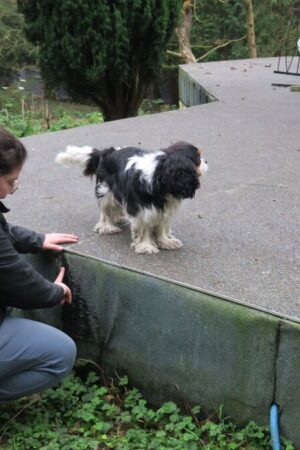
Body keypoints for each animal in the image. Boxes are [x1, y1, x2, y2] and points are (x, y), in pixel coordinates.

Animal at [55, 141, 206, 253]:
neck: (160, 175)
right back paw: (107, 227)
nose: (206, 161)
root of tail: (108, 151)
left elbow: (162, 226)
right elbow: (144, 227)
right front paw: (146, 246)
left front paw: (166, 241)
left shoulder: (166, 209)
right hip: (106, 193)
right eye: (198, 159)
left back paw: (119, 217)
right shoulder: (142, 209)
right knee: (105, 212)